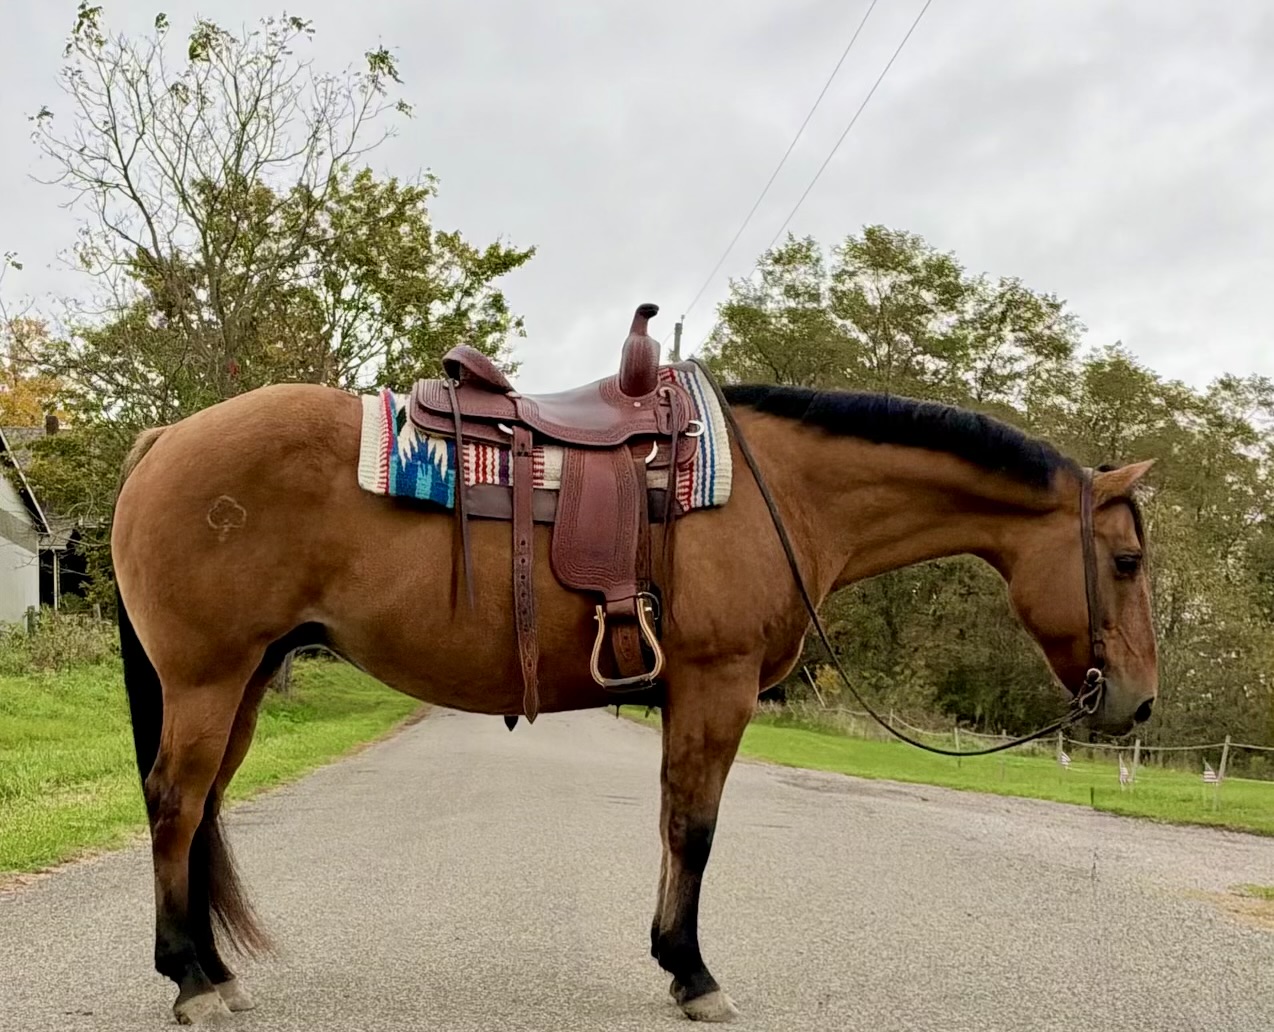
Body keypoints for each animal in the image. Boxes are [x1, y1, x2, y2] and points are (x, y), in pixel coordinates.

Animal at [110, 370, 1157, 1024]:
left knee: (202, 809)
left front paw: (671, 958)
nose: (1138, 704)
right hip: (208, 679)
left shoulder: (688, 695)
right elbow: (694, 827)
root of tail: (166, 439)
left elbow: (670, 822)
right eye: (1127, 561)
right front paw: (693, 974)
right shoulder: (716, 685)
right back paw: (189, 981)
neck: (781, 491)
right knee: (174, 804)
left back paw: (216, 971)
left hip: (244, 682)